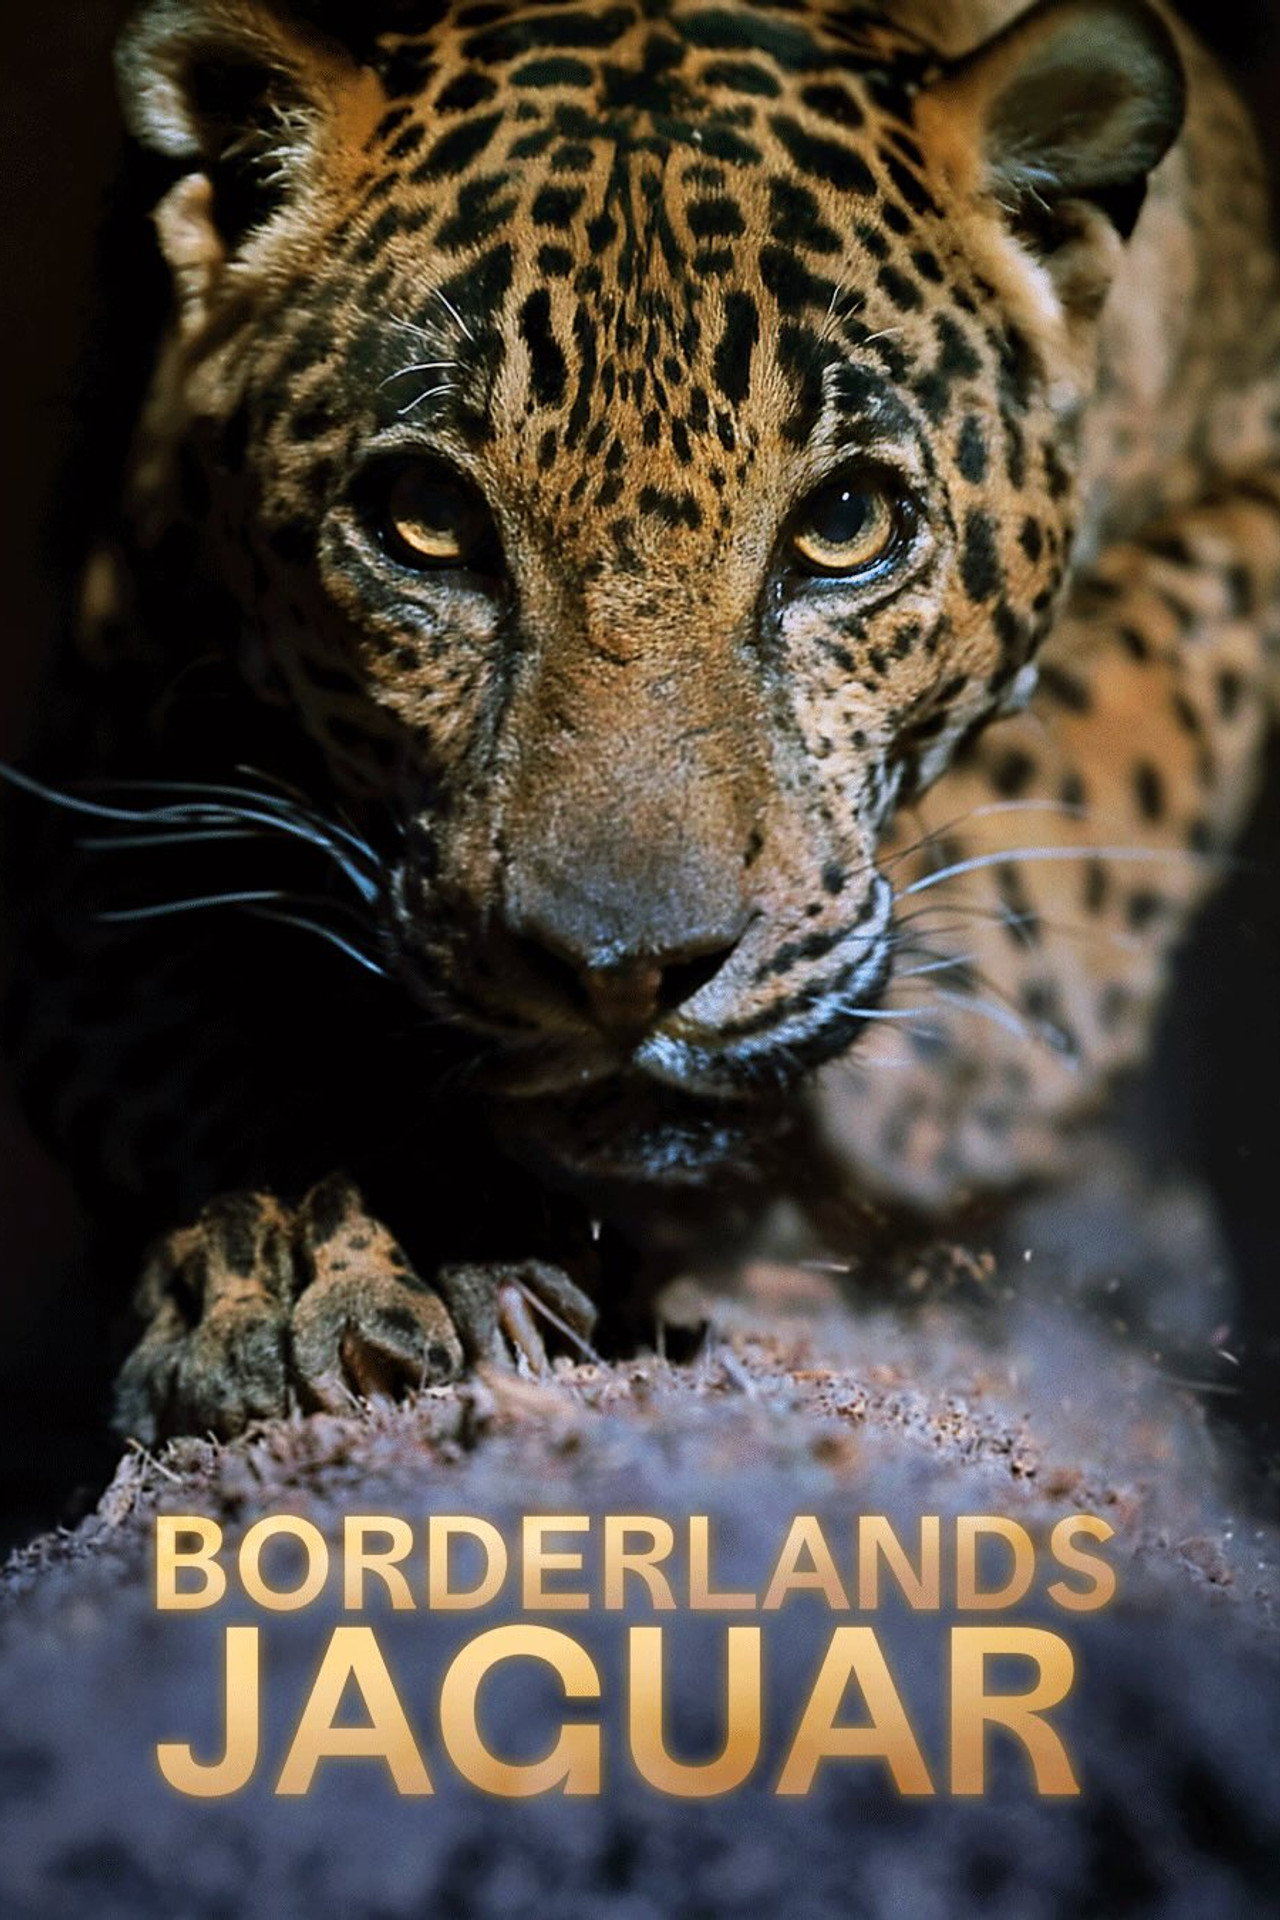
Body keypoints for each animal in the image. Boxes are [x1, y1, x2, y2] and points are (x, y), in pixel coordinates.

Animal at [5, 0, 1280, 1445]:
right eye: (424, 522)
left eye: (846, 524)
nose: (623, 974)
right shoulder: (98, 746)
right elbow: (195, 1024)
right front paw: (300, 1264)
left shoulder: (1249, 473)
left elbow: (1121, 725)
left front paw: (948, 1069)